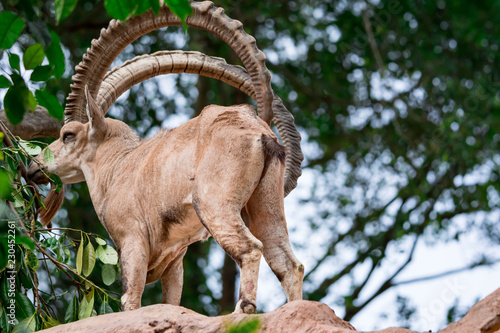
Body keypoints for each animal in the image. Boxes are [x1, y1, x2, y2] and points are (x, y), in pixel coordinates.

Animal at [30, 1, 304, 312]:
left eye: (68, 134)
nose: (33, 167)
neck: (117, 169)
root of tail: (260, 133)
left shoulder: (132, 240)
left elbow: (131, 298)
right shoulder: (176, 259)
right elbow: (172, 301)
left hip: (215, 203)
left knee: (250, 248)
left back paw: (241, 312)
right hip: (265, 204)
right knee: (288, 264)